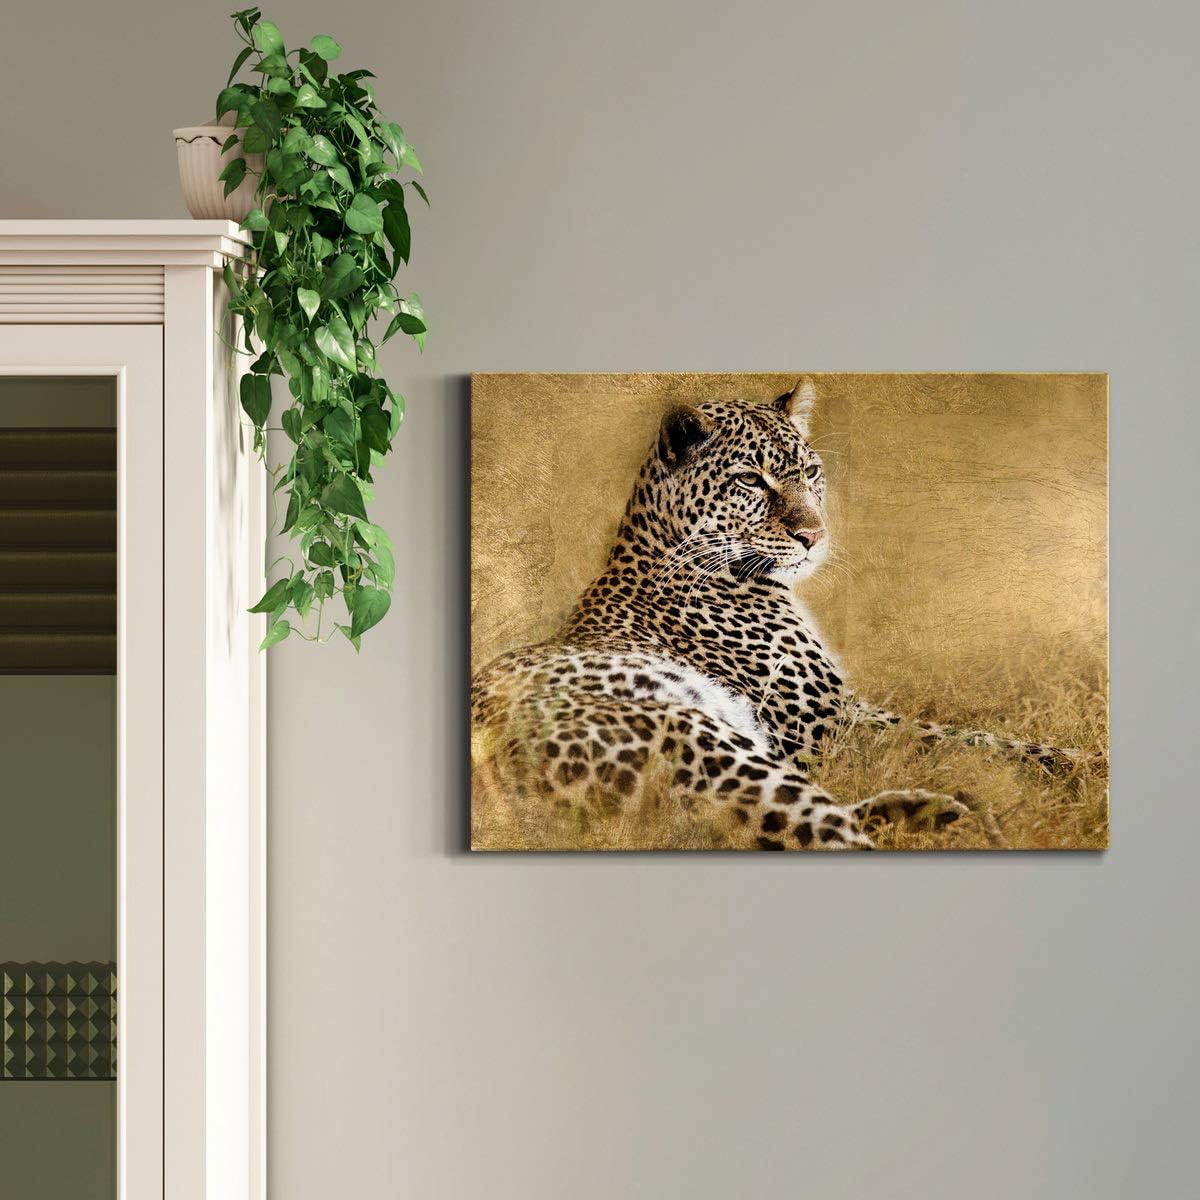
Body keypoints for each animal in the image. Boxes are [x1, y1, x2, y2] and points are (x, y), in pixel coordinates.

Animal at [471, 379, 1105, 850]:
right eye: (751, 480)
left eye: (812, 473)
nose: (813, 536)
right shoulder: (824, 728)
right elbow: (969, 741)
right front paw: (1086, 764)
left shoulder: (843, 714)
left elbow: (970, 735)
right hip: (700, 738)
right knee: (830, 834)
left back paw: (928, 811)